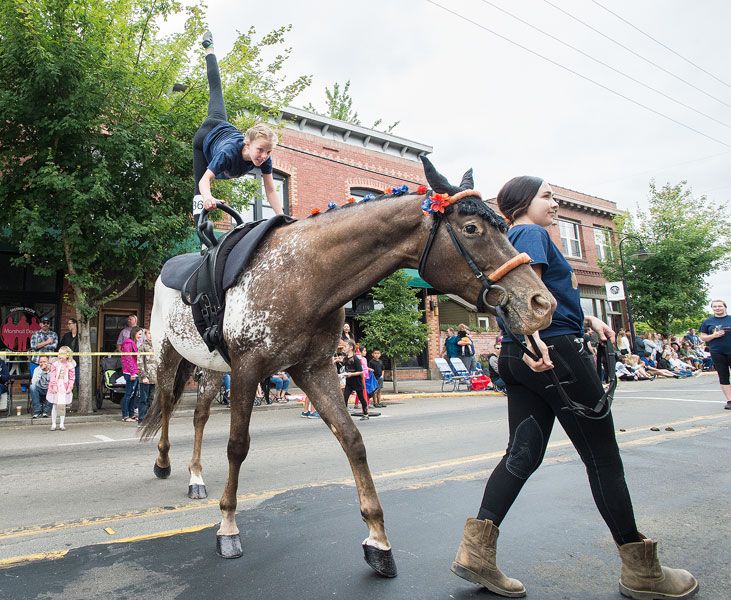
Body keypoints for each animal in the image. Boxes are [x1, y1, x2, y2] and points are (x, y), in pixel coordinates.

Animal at [143, 158, 556, 576]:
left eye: (503, 226)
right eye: (472, 229)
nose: (540, 303)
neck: (304, 276)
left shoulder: (314, 369)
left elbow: (352, 439)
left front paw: (377, 539)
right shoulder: (248, 369)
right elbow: (236, 446)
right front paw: (228, 525)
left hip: (211, 367)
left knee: (198, 415)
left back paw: (195, 476)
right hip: (167, 355)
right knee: (166, 404)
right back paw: (163, 462)